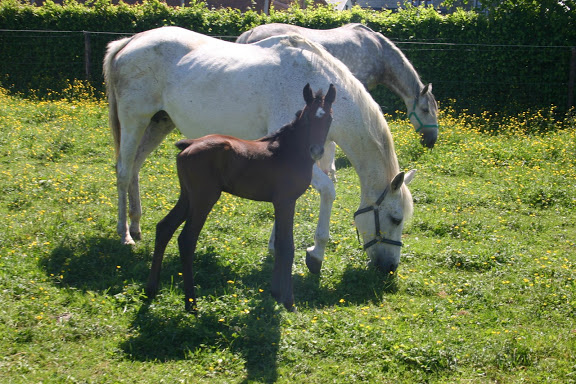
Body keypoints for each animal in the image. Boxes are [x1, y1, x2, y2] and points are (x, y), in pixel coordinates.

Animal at [103, 26, 416, 272]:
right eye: (395, 218)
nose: (390, 267)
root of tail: (129, 42)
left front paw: (278, 247)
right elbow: (327, 191)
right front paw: (315, 255)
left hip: (159, 122)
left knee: (134, 168)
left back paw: (136, 226)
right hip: (134, 120)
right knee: (123, 171)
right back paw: (124, 234)